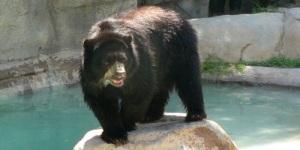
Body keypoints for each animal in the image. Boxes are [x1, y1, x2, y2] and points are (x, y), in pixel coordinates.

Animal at [79, 6, 206, 145]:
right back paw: (151, 115)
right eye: (106, 62)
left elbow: (139, 91)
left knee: (189, 79)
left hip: (180, 48)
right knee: (160, 87)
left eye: (123, 59)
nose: (120, 74)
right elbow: (102, 102)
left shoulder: (140, 62)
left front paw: (126, 124)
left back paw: (195, 114)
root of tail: (176, 14)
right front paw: (115, 135)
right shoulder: (90, 78)